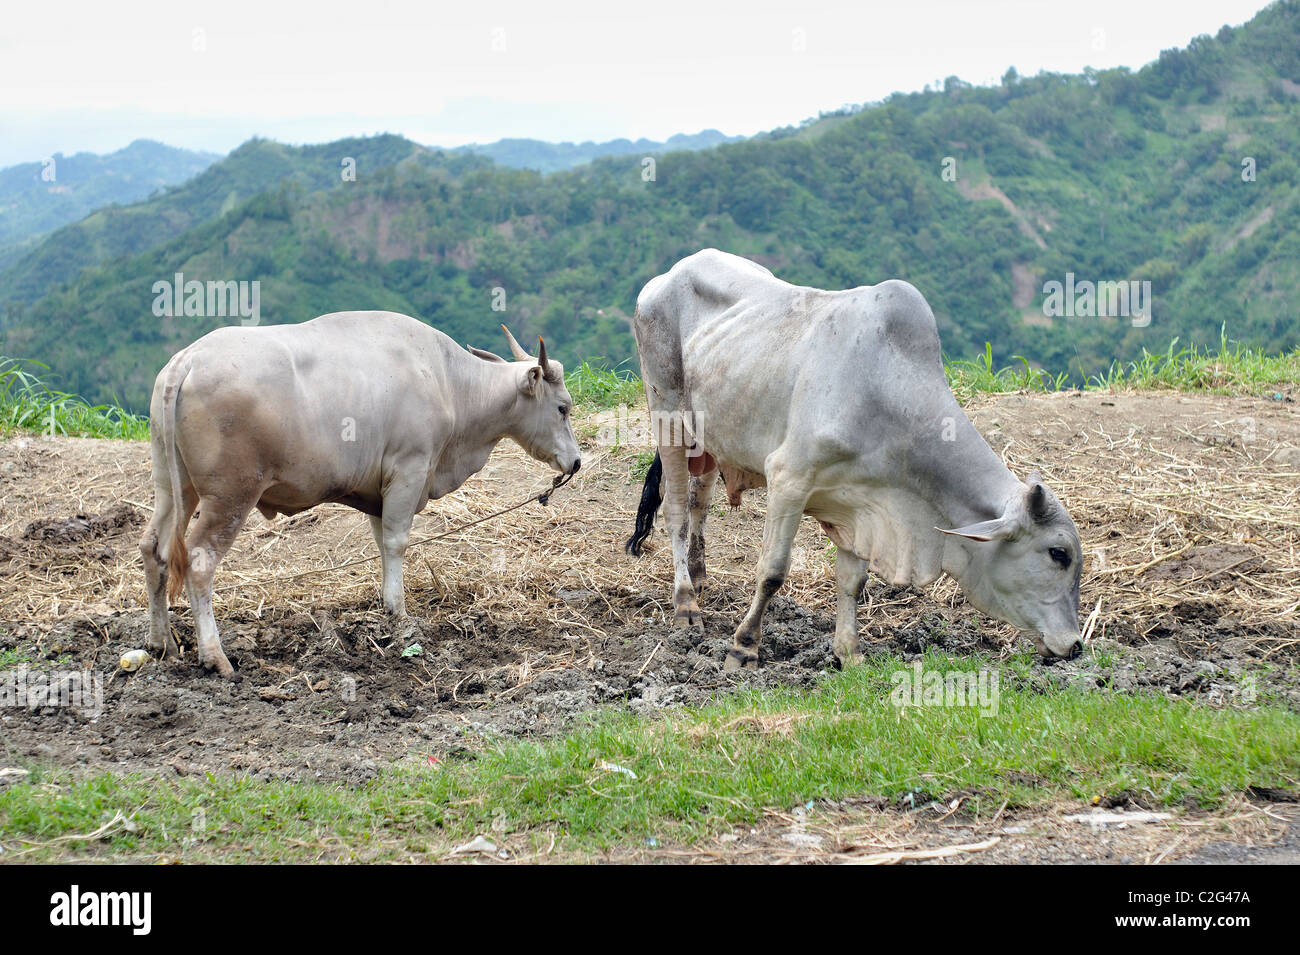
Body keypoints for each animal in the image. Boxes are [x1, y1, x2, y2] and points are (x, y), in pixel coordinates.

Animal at [139, 313, 581, 677]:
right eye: (563, 407)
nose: (576, 462)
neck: (448, 382)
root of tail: (189, 359)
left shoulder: (378, 489)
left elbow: (382, 543)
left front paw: (387, 607)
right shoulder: (409, 469)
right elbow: (398, 541)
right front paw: (400, 613)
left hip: (173, 486)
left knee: (154, 547)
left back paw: (162, 643)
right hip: (230, 494)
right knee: (199, 560)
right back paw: (215, 656)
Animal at [625, 249, 1083, 671]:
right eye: (1058, 553)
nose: (1076, 645)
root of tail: (671, 273)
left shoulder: (861, 504)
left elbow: (852, 581)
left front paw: (849, 654)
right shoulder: (789, 478)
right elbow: (772, 571)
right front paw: (744, 647)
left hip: (710, 437)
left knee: (699, 503)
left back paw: (700, 575)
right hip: (667, 417)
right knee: (677, 511)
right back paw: (686, 604)